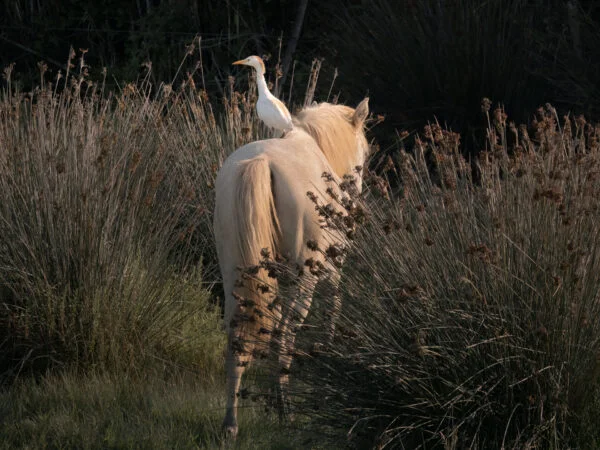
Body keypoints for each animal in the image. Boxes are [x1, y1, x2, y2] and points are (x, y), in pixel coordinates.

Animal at [213, 97, 368, 436]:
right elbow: (334, 305)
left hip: (233, 271)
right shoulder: (332, 268)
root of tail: (260, 163)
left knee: (237, 332)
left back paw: (231, 422)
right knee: (285, 331)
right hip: (303, 277)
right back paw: (285, 411)